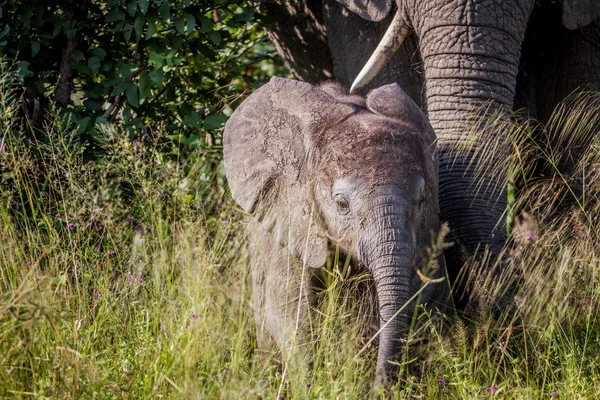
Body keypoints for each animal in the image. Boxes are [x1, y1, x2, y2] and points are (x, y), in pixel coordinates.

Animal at [224, 76, 450, 386]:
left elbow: (426, 294)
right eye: (342, 204)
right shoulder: (291, 216)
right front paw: (311, 384)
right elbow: (288, 307)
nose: (379, 388)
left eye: (421, 202)